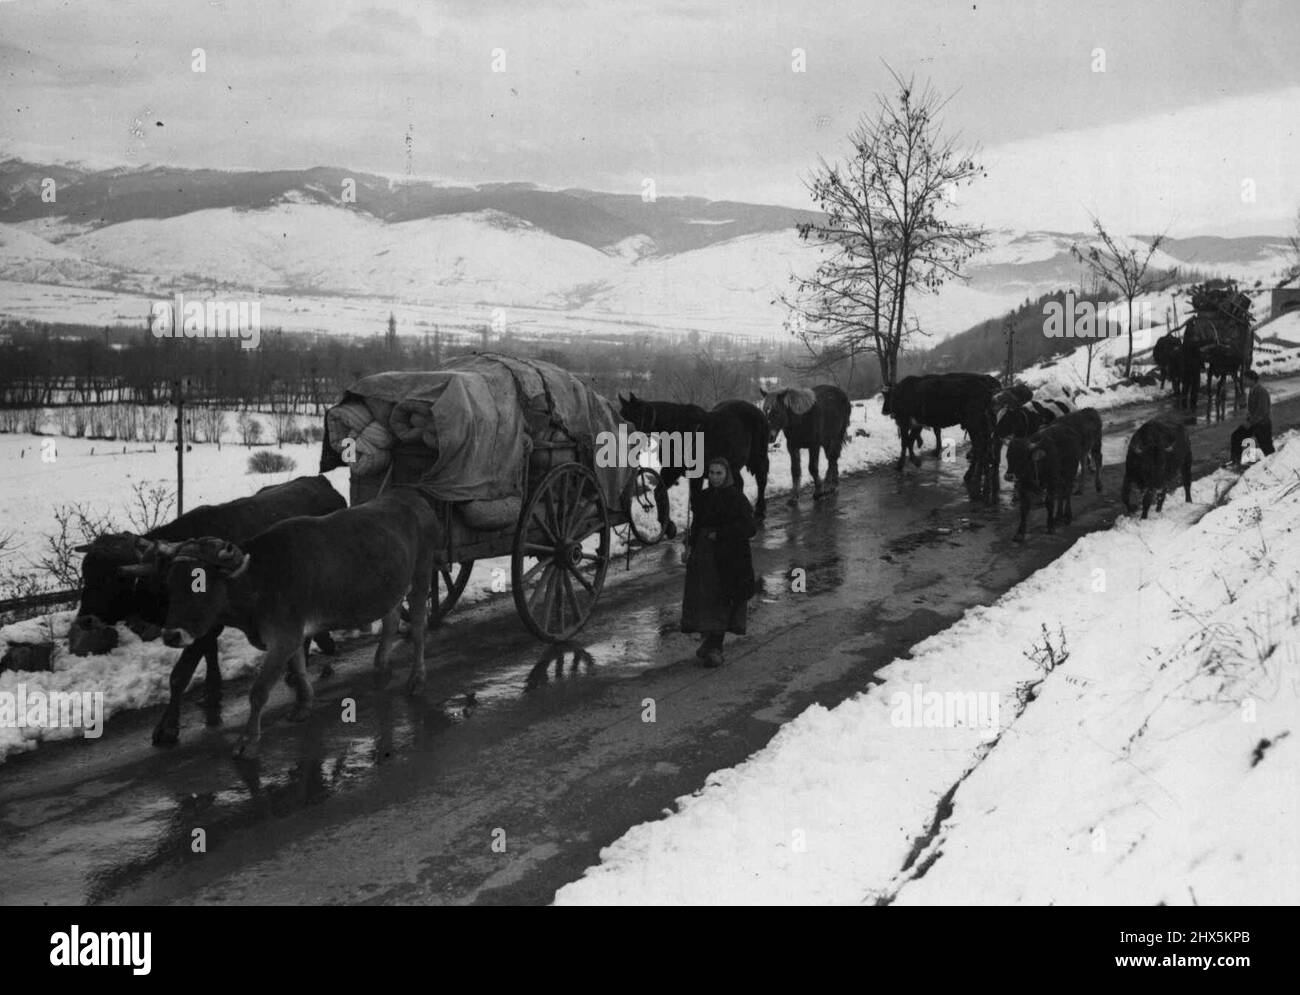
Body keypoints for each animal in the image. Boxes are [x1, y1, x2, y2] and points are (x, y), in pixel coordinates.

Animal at [71, 476, 345, 743]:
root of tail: (320, 481)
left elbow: (179, 675)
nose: (85, 620)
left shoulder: (203, 626)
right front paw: (212, 690)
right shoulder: (200, 626)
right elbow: (208, 654)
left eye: (115, 577)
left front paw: (168, 727)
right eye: (86, 573)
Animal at [152, 486, 441, 754]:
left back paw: (417, 679)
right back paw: (381, 667)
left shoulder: (284, 636)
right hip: (392, 586)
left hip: (422, 574)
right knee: (391, 620)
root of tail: (408, 495)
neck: (263, 577)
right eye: (169, 584)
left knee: (418, 626)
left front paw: (248, 740)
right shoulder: (293, 633)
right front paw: (303, 705)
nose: (171, 635)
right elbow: (299, 668)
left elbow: (259, 691)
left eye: (198, 585)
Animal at [613, 392, 764, 538]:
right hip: (732, 465)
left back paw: (759, 512)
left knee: (761, 480)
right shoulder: (670, 471)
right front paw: (669, 527)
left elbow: (695, 500)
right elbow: (659, 493)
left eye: (631, 418)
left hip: (757, 458)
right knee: (739, 483)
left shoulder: (696, 475)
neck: (681, 430)